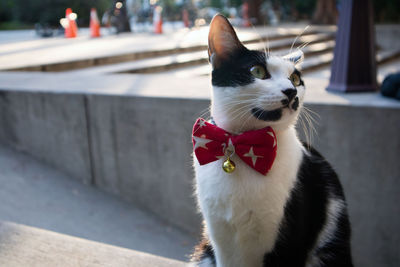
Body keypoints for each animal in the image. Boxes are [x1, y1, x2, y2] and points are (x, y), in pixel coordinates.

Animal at [191, 14, 354, 267]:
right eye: (257, 71)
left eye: (295, 78)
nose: (291, 91)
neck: (241, 145)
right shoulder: (220, 240)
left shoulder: (292, 239)